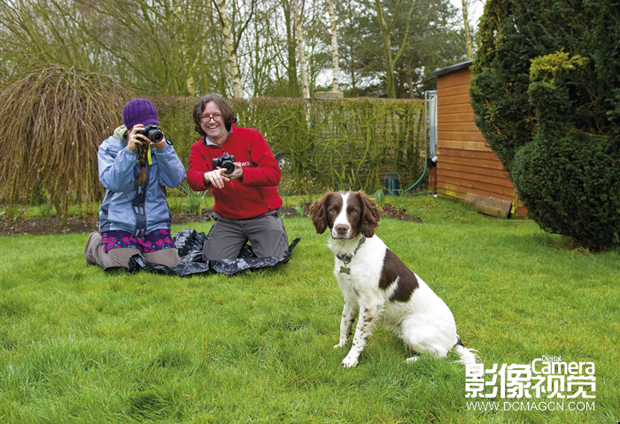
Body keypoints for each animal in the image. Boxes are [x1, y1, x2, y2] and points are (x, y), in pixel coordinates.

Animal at [308, 190, 478, 366]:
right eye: (332, 210)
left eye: (354, 211)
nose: (341, 228)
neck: (352, 253)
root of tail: (455, 338)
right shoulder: (350, 296)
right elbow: (345, 323)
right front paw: (341, 345)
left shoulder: (371, 303)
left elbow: (358, 335)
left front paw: (351, 360)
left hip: (410, 327)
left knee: (441, 355)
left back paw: (412, 360)